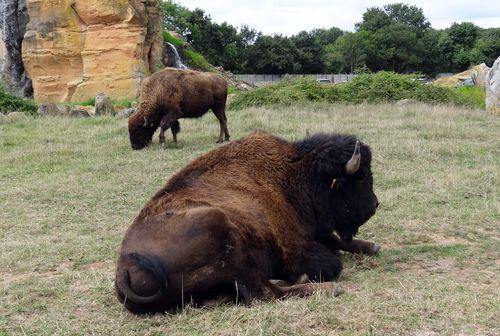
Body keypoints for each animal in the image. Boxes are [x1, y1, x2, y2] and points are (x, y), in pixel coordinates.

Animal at [115, 131, 378, 312]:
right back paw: (327, 287)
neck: (292, 175)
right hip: (220, 225)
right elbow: (333, 260)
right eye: (360, 177)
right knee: (265, 293)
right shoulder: (295, 246)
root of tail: (123, 268)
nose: (374, 205)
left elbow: (338, 240)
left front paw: (372, 246)